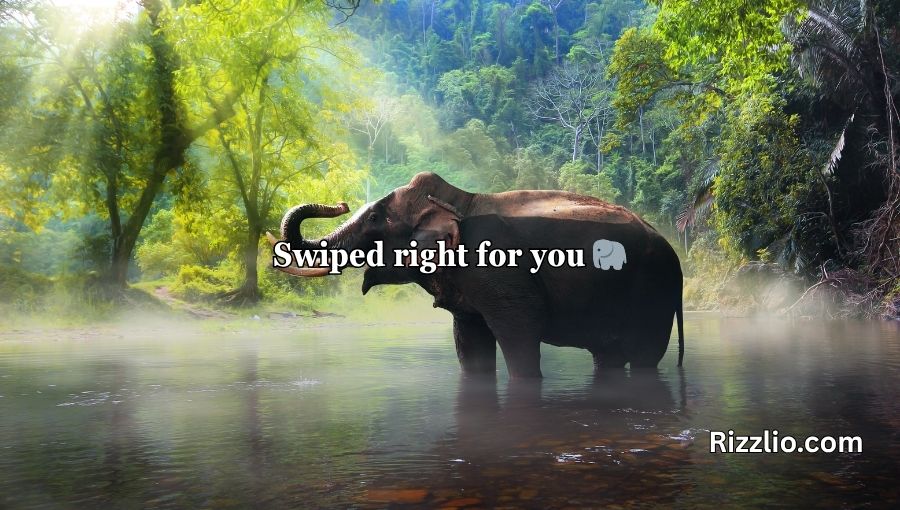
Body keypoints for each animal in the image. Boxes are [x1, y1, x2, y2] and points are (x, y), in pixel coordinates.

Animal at [267, 172, 684, 378]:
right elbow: (468, 341)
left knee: (645, 357)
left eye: (373, 218)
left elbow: (520, 331)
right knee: (608, 356)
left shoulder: (501, 272)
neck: (458, 201)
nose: (340, 202)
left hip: (654, 291)